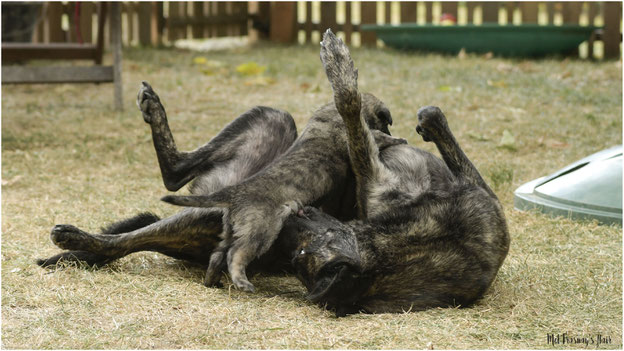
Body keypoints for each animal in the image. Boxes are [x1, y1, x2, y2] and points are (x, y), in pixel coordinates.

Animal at [37, 29, 508, 316]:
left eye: (302, 254)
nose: (294, 217)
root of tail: (229, 199)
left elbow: (356, 117)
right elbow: (358, 116)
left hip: (264, 136)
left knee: (142, 222)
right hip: (268, 126)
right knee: (160, 196)